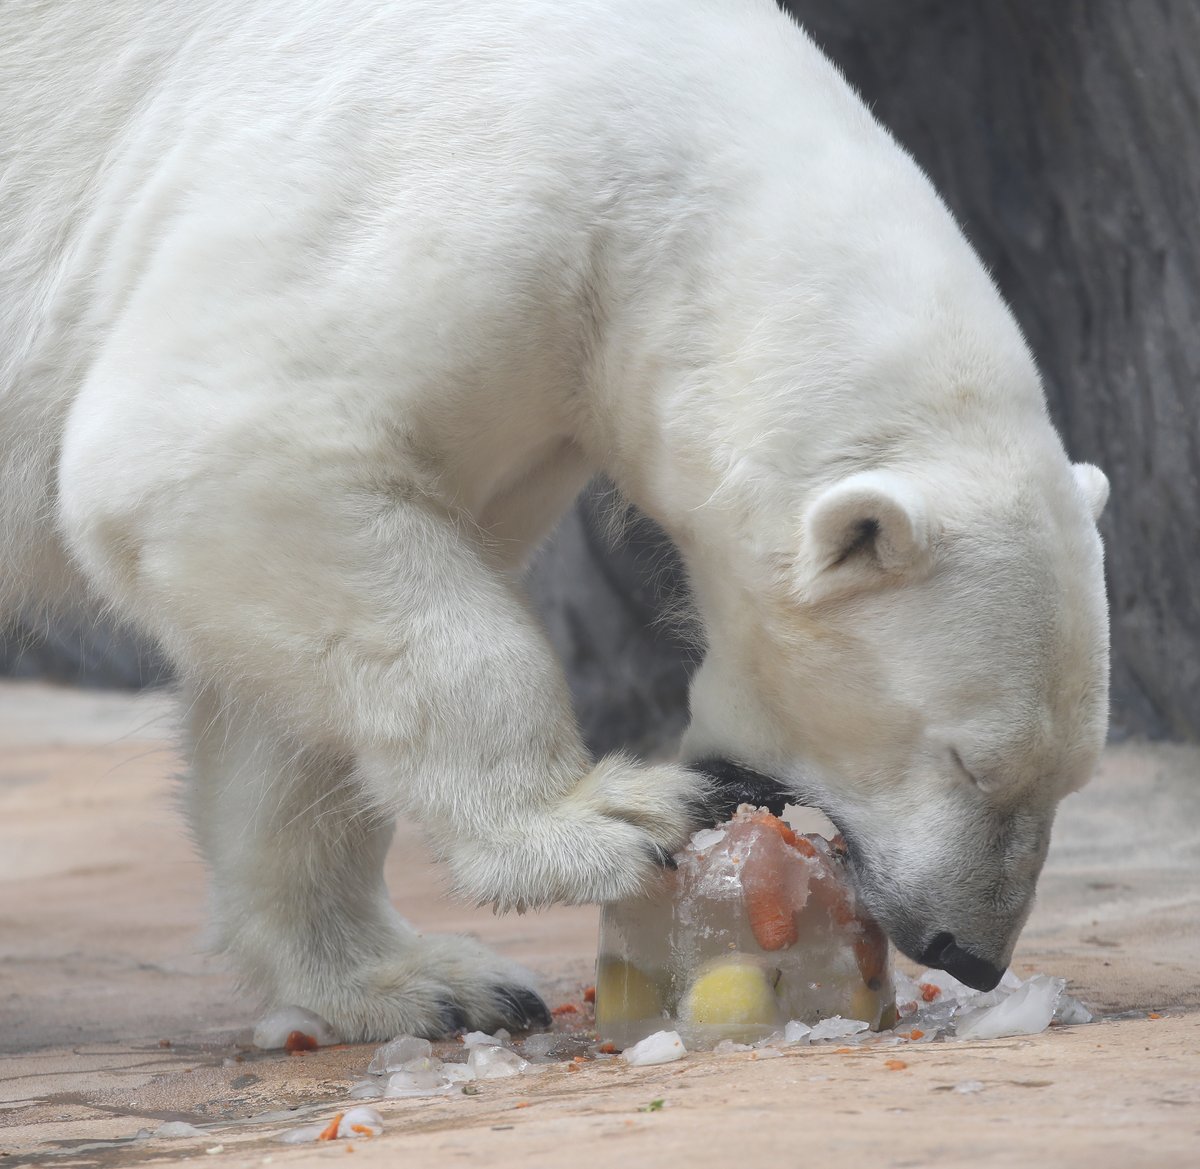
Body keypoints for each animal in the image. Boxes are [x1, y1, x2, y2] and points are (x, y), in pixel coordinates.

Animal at [0, 0, 1108, 1041]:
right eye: (972, 761)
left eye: (1070, 777)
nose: (968, 950)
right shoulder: (439, 179)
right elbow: (206, 452)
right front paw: (613, 817)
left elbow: (294, 681)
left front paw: (418, 982)